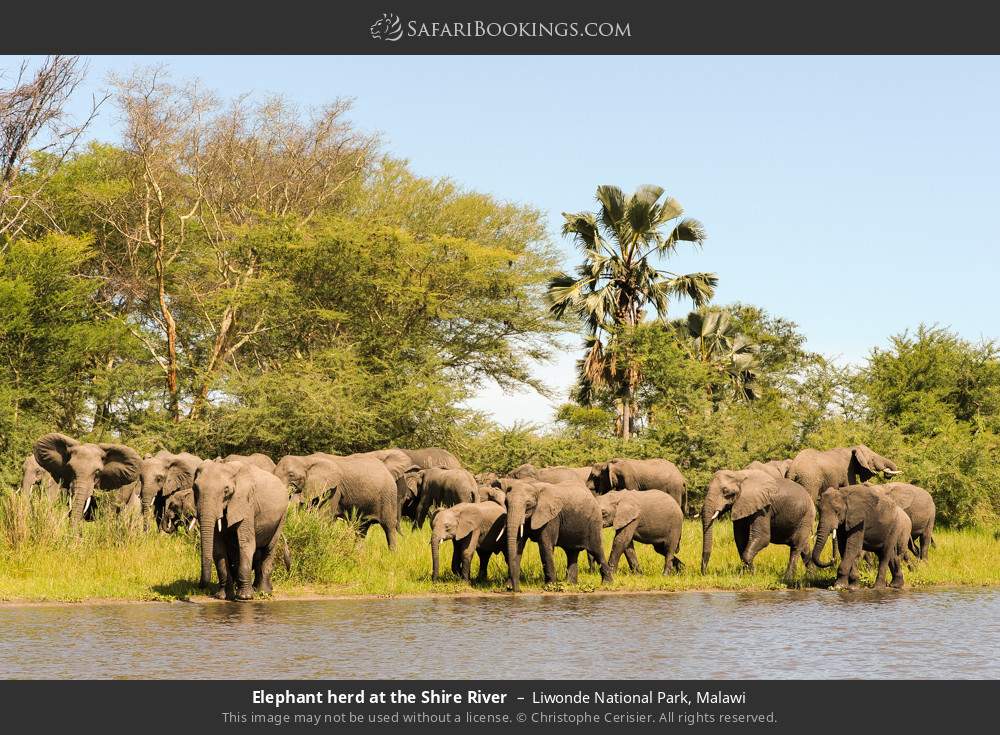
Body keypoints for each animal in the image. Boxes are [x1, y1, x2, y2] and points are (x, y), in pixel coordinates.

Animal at [193, 459, 290, 600]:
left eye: (226, 490)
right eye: (195, 488)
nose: (200, 586)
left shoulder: (247, 503)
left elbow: (246, 543)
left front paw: (244, 597)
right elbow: (218, 547)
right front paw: (222, 596)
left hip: (282, 517)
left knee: (269, 549)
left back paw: (264, 592)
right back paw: (256, 589)